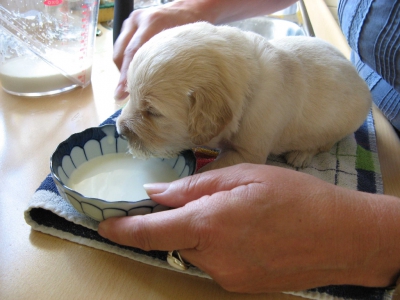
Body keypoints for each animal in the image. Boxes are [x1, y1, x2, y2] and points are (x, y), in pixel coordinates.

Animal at [115, 21, 372, 171]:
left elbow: (210, 170)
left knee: (324, 143)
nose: (119, 130)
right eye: (130, 94)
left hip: (340, 124)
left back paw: (301, 155)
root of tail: (360, 79)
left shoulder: (248, 153)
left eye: (153, 112)